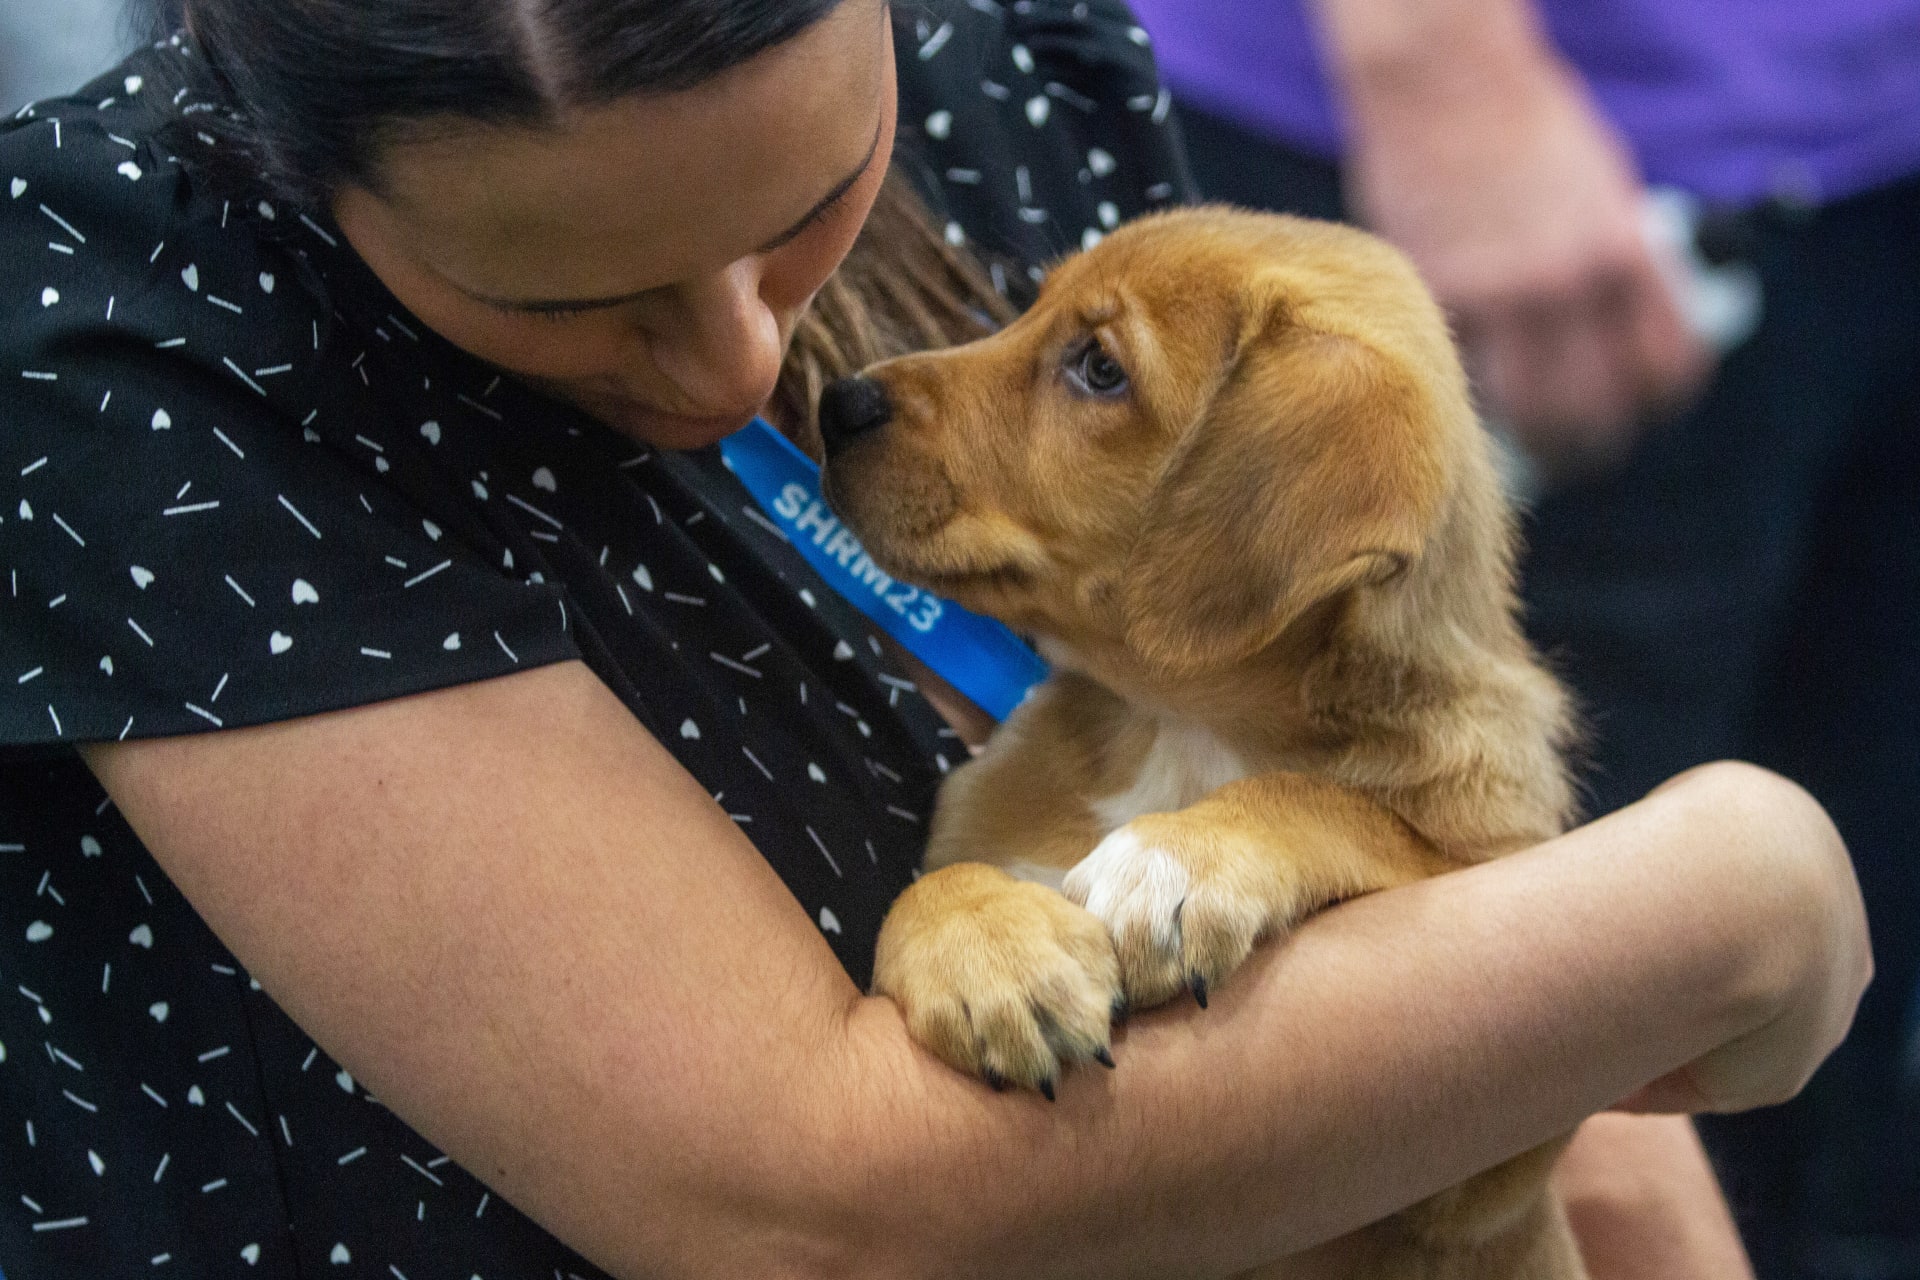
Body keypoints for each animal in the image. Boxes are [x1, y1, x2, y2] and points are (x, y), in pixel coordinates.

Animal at [817, 210, 1582, 1280]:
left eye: (1100, 368)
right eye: (1030, 306)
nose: (835, 403)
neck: (1178, 726)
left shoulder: (1493, 1160)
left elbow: (1342, 808)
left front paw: (1176, 860)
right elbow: (937, 881)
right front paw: (990, 955)